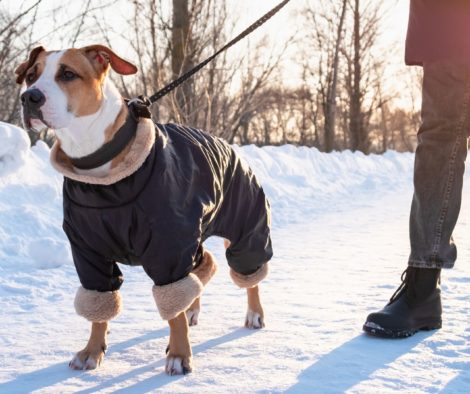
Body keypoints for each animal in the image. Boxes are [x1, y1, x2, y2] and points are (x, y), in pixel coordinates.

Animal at [15, 45, 272, 376]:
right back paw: (194, 308)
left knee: (248, 271)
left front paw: (179, 355)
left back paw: (254, 313)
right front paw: (92, 351)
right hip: (195, 236)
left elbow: (172, 310)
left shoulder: (168, 247)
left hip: (246, 225)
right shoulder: (88, 252)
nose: (29, 98)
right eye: (31, 75)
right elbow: (99, 305)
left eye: (68, 74)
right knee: (205, 265)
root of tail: (226, 144)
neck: (101, 176)